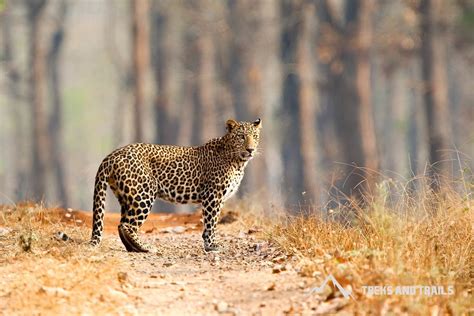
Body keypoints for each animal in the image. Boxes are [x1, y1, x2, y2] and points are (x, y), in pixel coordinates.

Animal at [90, 117, 262, 253]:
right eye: (241, 137)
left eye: (255, 136)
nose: (250, 149)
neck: (238, 162)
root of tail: (112, 155)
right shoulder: (213, 196)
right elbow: (211, 222)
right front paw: (212, 245)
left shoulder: (219, 199)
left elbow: (211, 223)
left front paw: (209, 244)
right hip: (143, 195)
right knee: (127, 225)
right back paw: (146, 247)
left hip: (127, 196)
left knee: (121, 225)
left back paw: (134, 248)